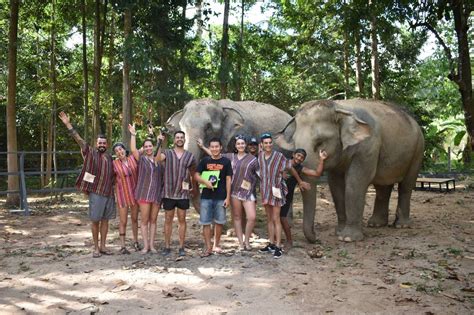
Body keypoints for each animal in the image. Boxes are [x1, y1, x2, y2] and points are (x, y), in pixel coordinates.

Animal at [276, 100, 424, 243]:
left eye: (320, 142)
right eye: (294, 142)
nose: (317, 238)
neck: (339, 106)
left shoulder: (367, 146)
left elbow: (355, 182)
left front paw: (348, 238)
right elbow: (335, 185)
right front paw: (339, 232)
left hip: (418, 151)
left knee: (406, 186)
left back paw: (402, 225)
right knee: (382, 187)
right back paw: (375, 224)